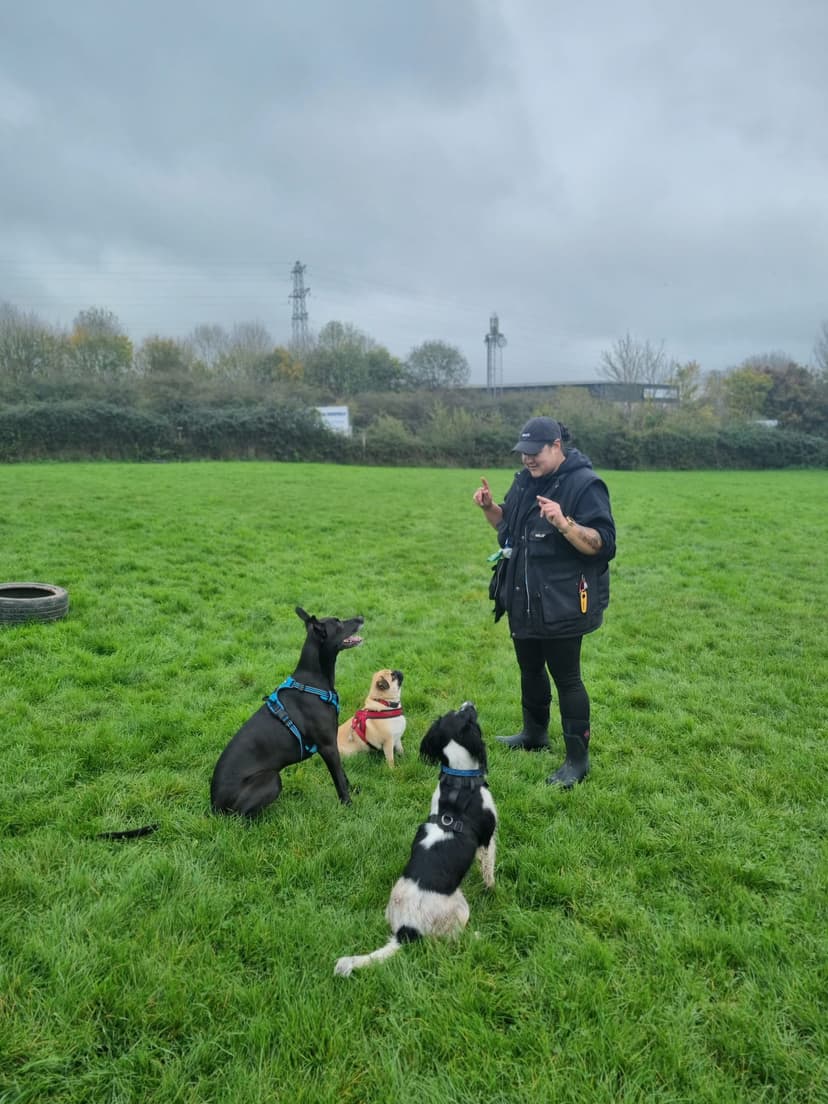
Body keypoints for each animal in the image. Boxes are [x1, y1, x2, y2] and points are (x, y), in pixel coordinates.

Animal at [210, 609, 362, 816]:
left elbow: (343, 775)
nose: (361, 618)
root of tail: (213, 805)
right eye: (338, 622)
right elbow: (338, 777)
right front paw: (348, 805)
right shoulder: (328, 746)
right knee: (240, 816)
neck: (314, 680)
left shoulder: (332, 743)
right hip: (272, 779)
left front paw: (353, 790)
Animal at [333, 697, 496, 975]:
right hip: (461, 909)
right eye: (465, 714)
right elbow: (489, 870)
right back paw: (476, 937)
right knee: (453, 939)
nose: (469, 702)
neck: (459, 782)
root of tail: (404, 932)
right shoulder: (488, 838)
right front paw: (492, 890)